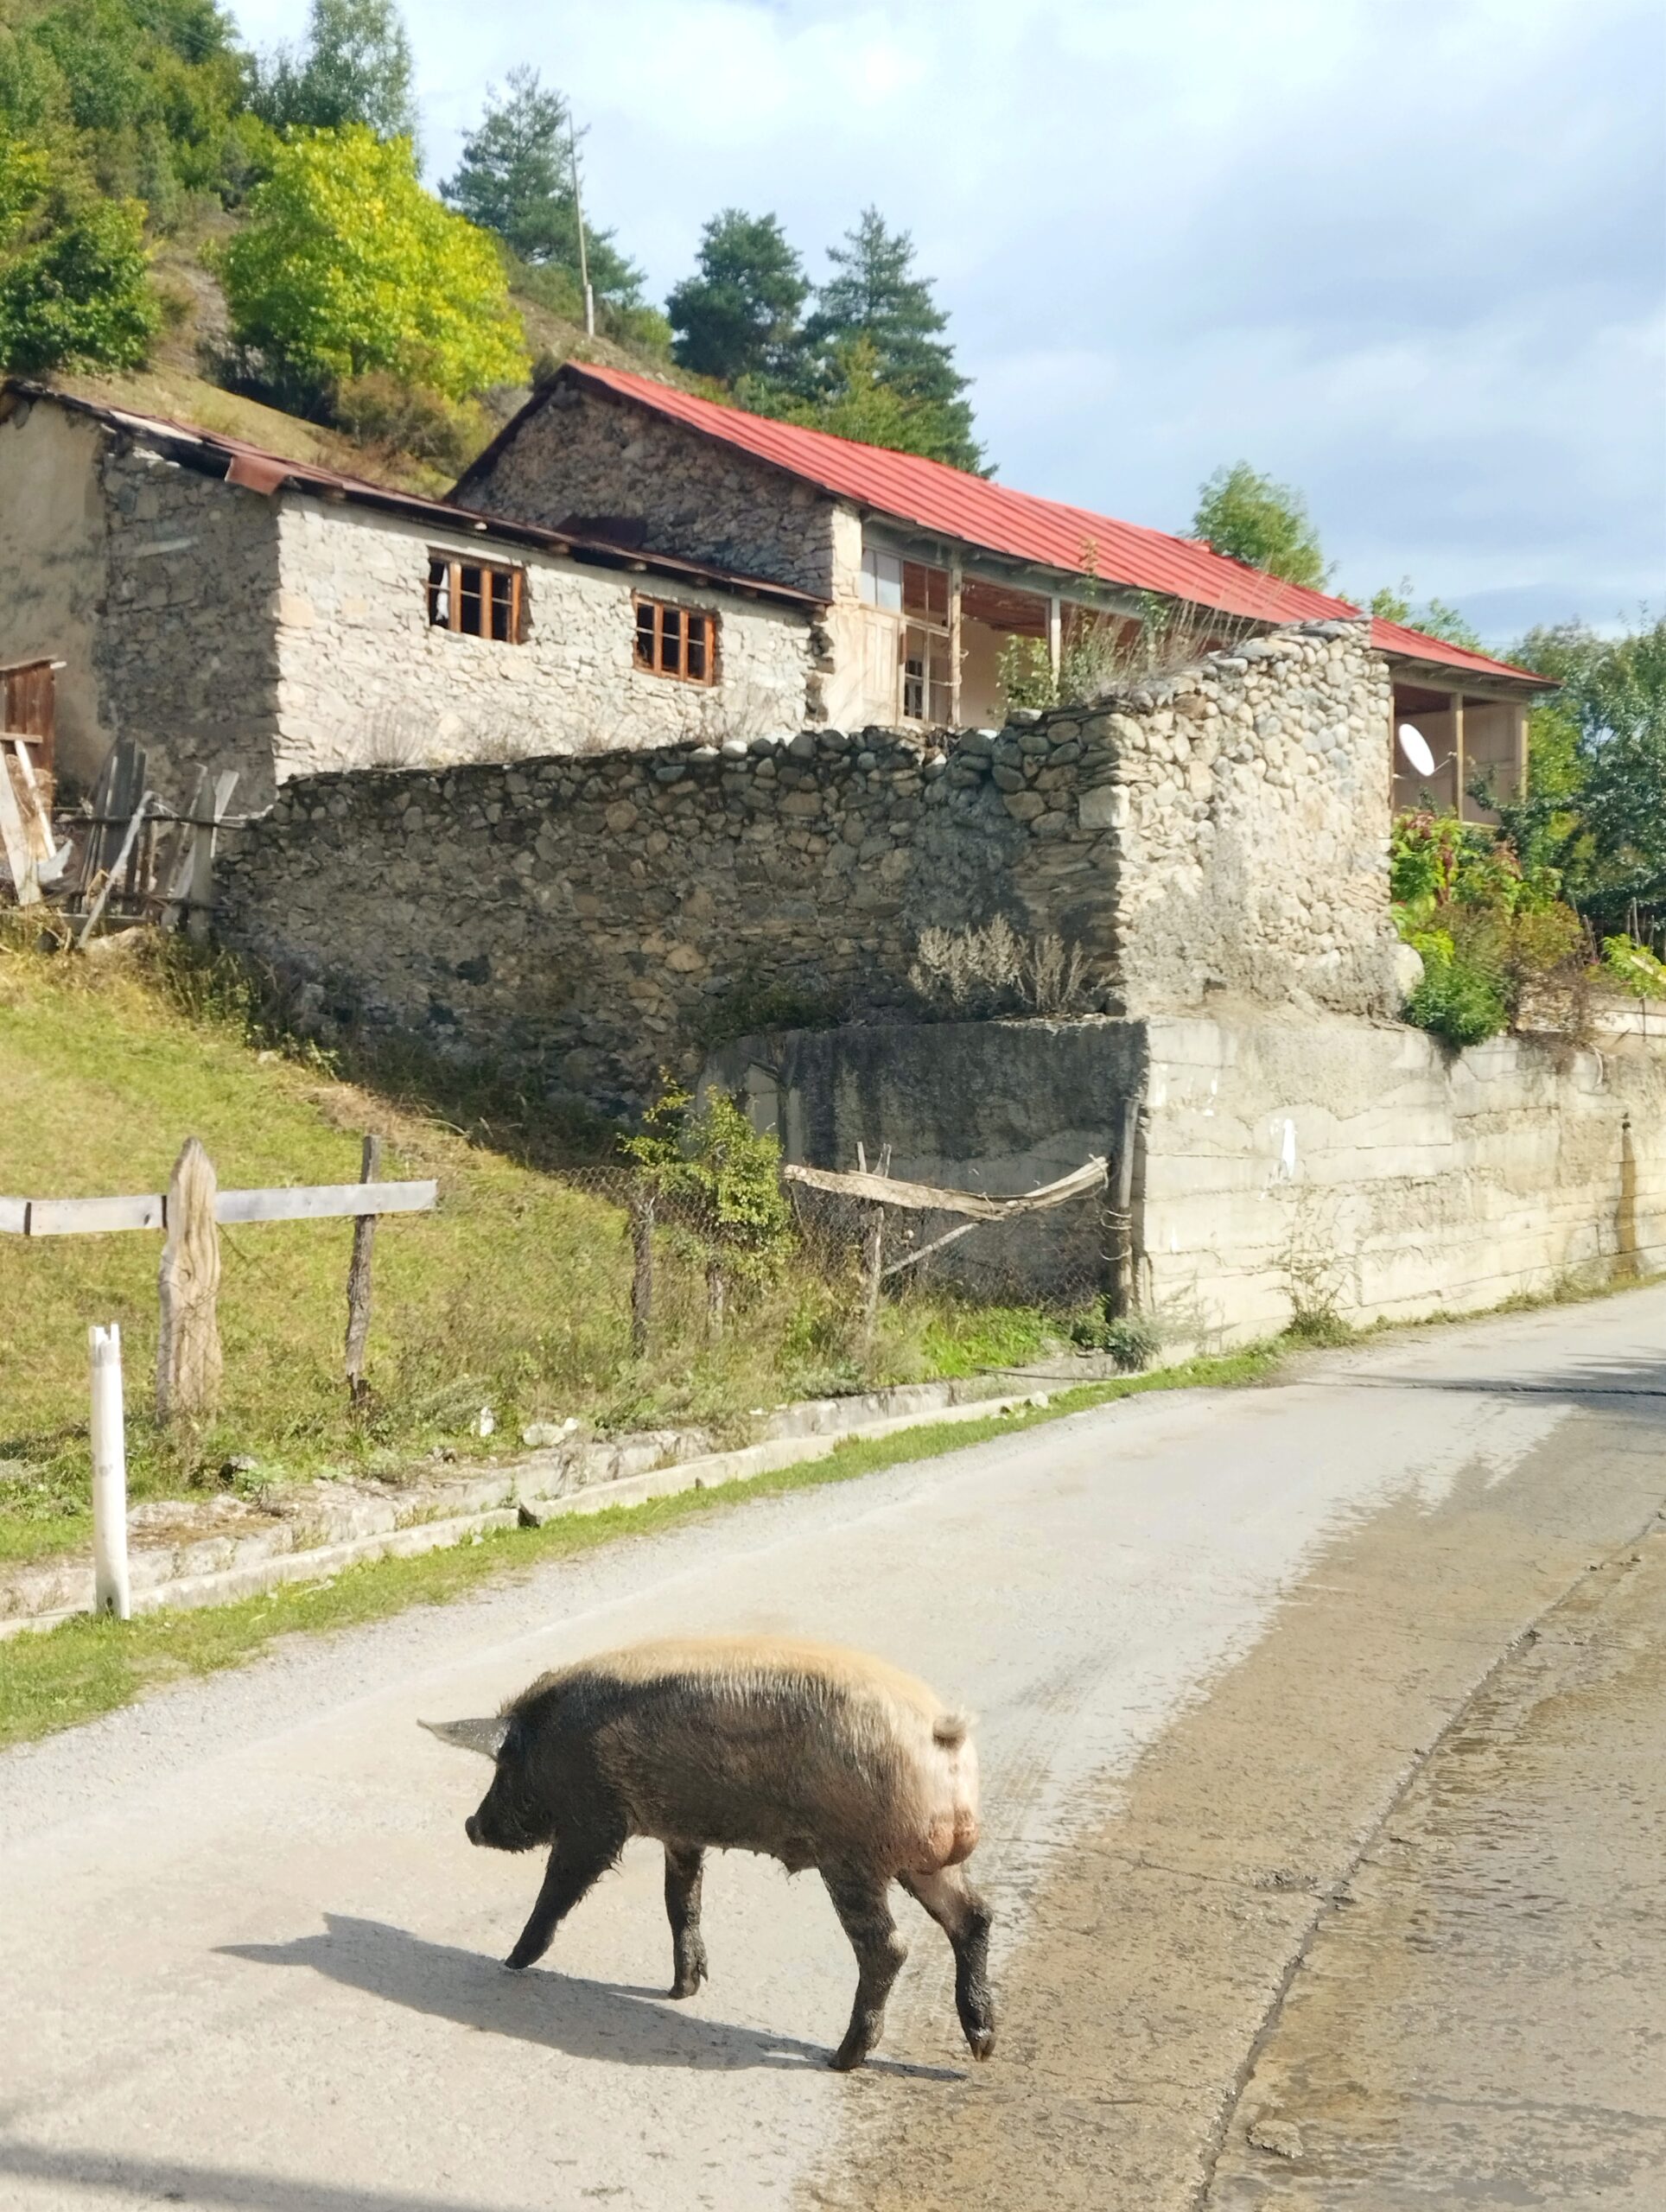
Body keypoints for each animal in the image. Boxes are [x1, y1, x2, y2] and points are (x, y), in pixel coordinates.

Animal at [423, 1628, 995, 2070]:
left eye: (504, 1765)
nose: (472, 1825)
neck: (550, 1740)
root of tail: (940, 1729)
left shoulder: (595, 1822)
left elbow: (560, 1889)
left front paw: (512, 1960)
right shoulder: (681, 1836)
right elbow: (682, 1902)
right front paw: (683, 1991)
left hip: (853, 1859)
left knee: (890, 1946)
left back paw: (841, 2059)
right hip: (922, 1864)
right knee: (974, 1916)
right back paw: (982, 2045)